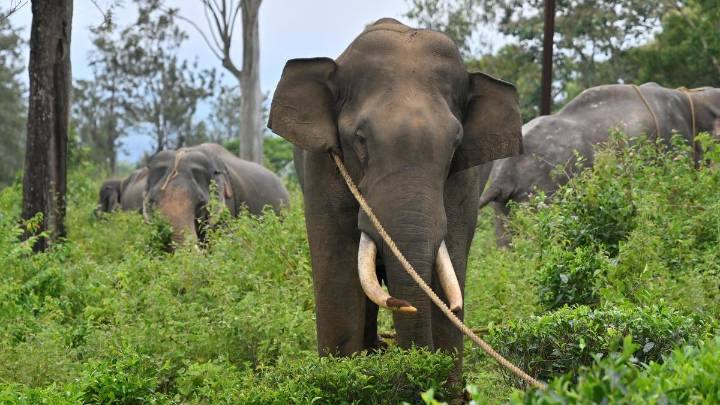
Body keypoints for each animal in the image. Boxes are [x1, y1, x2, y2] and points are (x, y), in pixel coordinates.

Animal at [268, 17, 522, 377]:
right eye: (360, 139)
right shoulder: (322, 169)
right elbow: (338, 275)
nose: (406, 305)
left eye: (455, 144)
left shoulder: (464, 182)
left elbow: (450, 266)